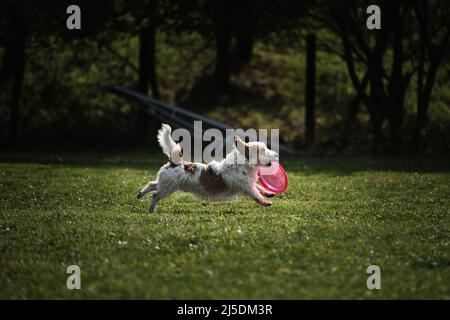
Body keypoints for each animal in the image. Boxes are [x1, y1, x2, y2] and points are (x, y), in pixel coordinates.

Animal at [137, 123, 278, 212]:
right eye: (264, 150)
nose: (276, 154)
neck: (242, 165)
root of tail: (175, 162)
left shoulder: (249, 183)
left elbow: (259, 187)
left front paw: (268, 193)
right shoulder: (246, 187)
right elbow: (256, 194)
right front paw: (266, 202)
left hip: (166, 183)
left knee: (152, 184)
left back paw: (140, 194)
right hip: (168, 187)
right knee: (155, 195)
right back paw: (151, 209)